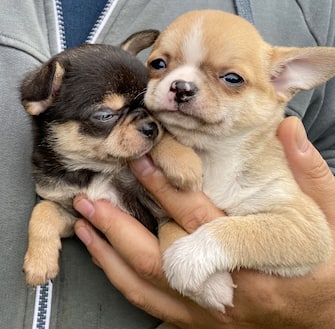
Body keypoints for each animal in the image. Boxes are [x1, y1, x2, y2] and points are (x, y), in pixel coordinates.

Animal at [23, 31, 203, 288]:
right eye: (105, 115)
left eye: (149, 106)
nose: (150, 126)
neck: (96, 170)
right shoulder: (75, 213)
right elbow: (43, 210)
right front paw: (39, 262)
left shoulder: (154, 205)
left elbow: (172, 227)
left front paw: (185, 162)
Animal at [146, 9, 335, 312]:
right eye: (157, 64)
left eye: (233, 79)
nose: (181, 86)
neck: (212, 155)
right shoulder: (162, 211)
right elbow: (172, 227)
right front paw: (210, 284)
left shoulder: (304, 226)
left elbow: (238, 228)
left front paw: (189, 258)